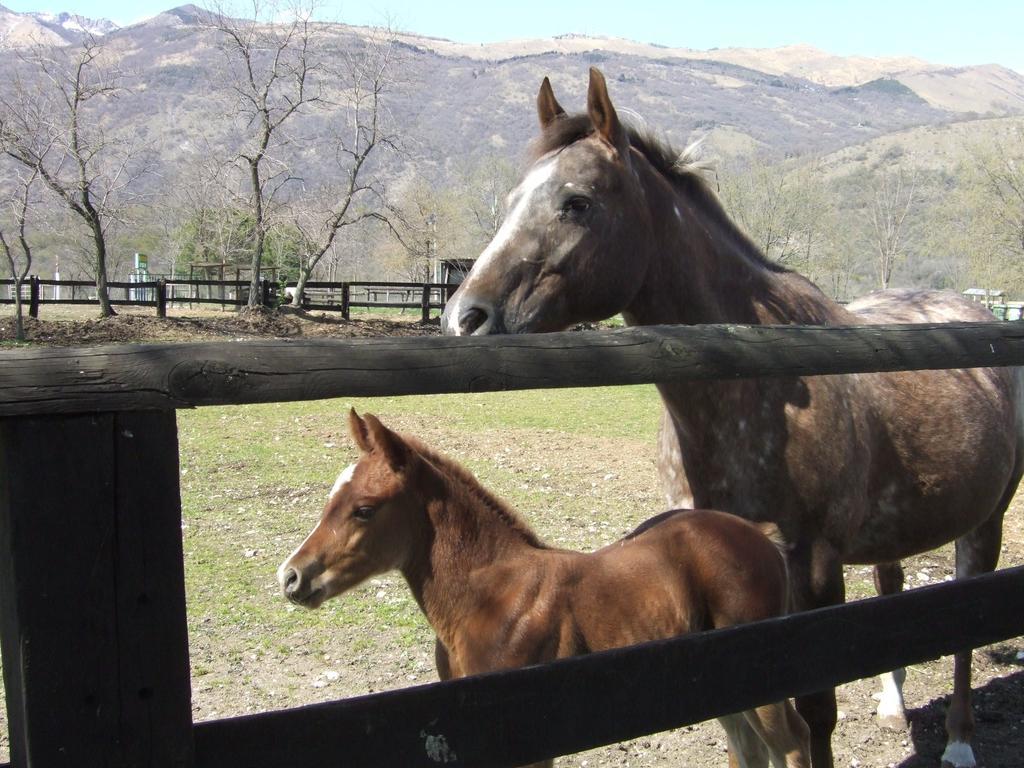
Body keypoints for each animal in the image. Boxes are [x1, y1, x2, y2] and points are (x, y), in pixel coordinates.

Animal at [442, 67, 1024, 768]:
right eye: (510, 200)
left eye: (576, 202)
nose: (464, 317)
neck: (753, 373)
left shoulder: (814, 565)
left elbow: (816, 710)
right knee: (893, 583)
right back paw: (893, 705)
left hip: (985, 521)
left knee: (967, 621)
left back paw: (961, 741)